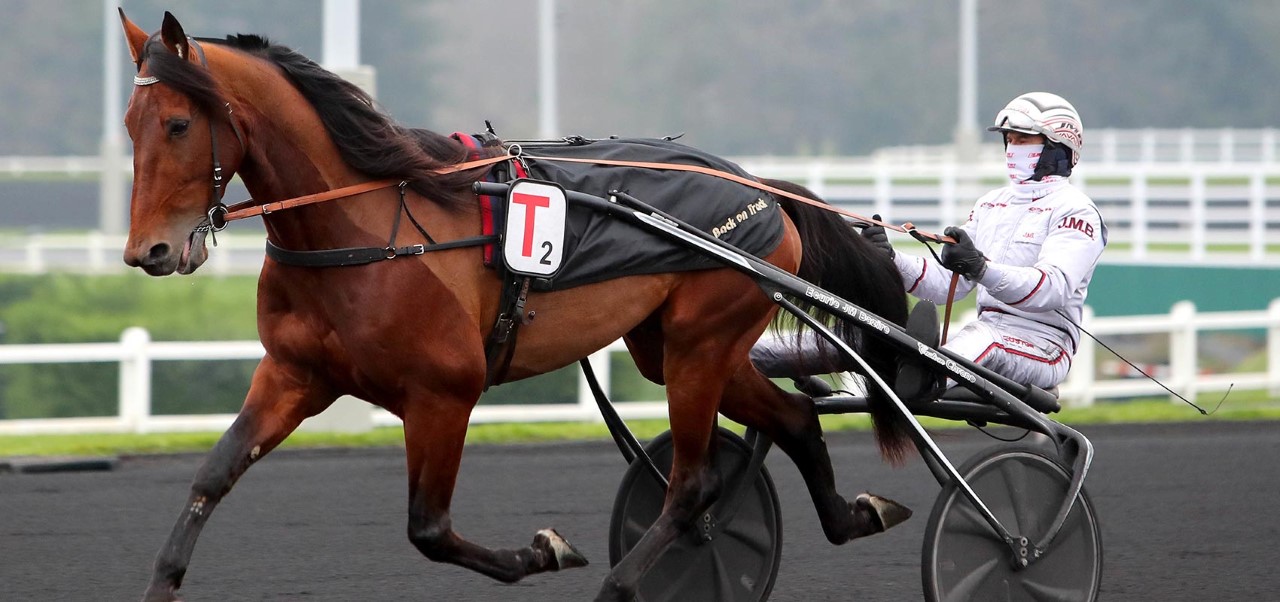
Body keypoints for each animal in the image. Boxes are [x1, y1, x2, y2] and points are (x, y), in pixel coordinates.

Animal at [120, 10, 916, 602]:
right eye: (130, 124)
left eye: (179, 124)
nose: (146, 252)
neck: (362, 230)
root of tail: (763, 192)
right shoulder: (294, 374)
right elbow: (212, 476)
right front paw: (162, 581)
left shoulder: (443, 392)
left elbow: (428, 528)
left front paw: (546, 550)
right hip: (676, 348)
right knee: (796, 416)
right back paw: (855, 515)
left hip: (703, 342)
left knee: (693, 484)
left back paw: (626, 582)